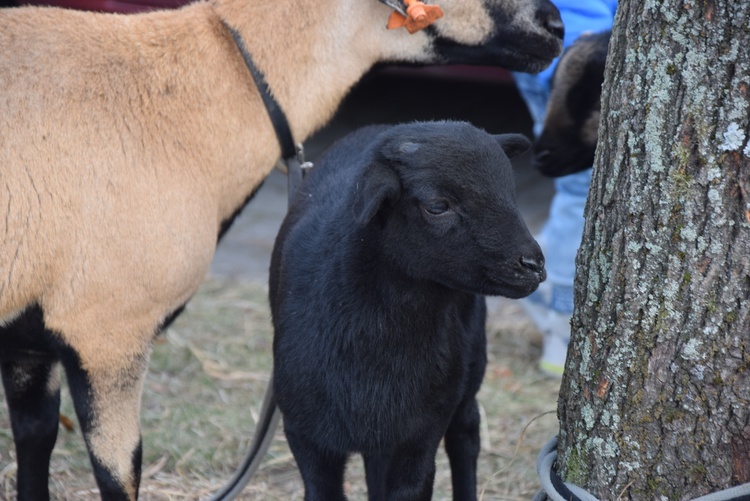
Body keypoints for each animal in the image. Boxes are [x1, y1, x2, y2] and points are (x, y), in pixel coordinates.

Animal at [270, 121, 548, 500]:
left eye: (510, 192)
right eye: (437, 206)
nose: (534, 265)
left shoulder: (420, 435)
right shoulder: (305, 436)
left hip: (470, 363)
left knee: (465, 433)